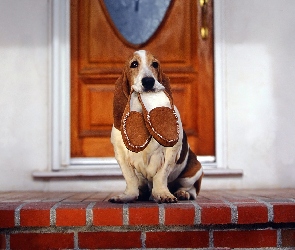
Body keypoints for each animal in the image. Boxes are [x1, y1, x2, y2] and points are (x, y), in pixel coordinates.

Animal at [110, 50, 205, 203]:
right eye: (134, 64)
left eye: (155, 64)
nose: (149, 81)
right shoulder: (121, 154)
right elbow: (130, 178)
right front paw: (127, 195)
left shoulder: (171, 152)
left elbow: (161, 175)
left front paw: (162, 193)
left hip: (194, 172)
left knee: (192, 190)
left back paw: (182, 193)